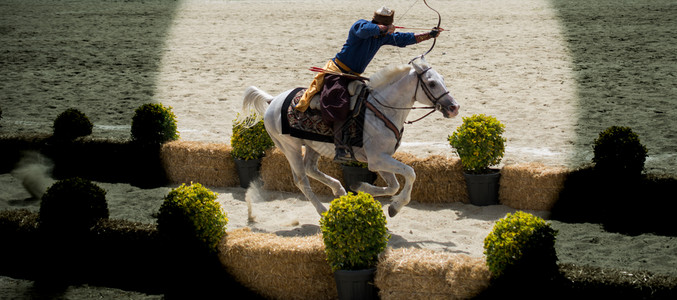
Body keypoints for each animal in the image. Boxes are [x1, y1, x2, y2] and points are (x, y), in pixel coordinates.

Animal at [240, 57, 456, 217]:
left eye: (443, 79)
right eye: (432, 83)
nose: (454, 107)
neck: (382, 109)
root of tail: (273, 100)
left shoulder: (380, 159)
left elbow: (393, 185)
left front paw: (361, 187)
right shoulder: (378, 159)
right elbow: (410, 173)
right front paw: (396, 207)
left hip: (312, 146)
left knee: (311, 168)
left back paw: (339, 190)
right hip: (290, 148)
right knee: (301, 180)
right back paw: (323, 210)